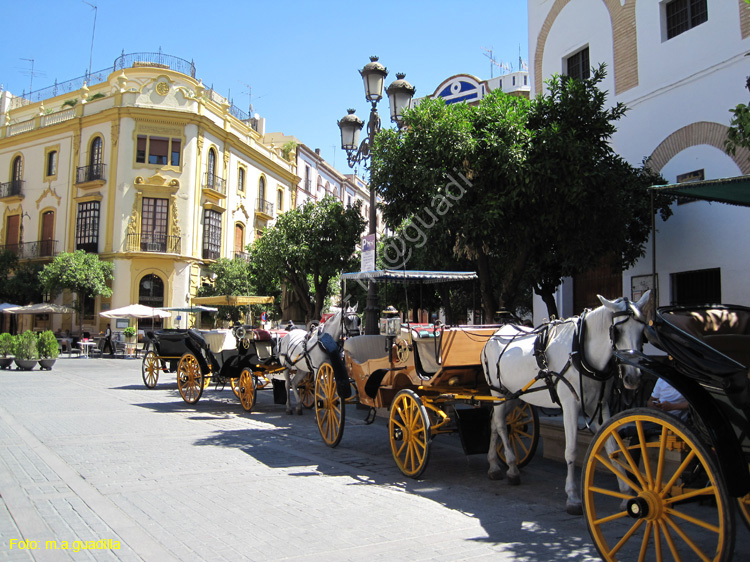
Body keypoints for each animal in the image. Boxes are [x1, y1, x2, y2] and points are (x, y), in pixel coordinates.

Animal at [484, 290, 648, 516]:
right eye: (618, 331)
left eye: (643, 331)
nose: (633, 378)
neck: (581, 351)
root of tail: (497, 332)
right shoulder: (571, 405)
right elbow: (571, 450)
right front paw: (573, 497)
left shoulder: (601, 405)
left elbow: (612, 447)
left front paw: (625, 495)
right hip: (497, 392)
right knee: (500, 425)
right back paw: (512, 468)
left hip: (513, 395)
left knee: (494, 424)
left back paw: (494, 466)